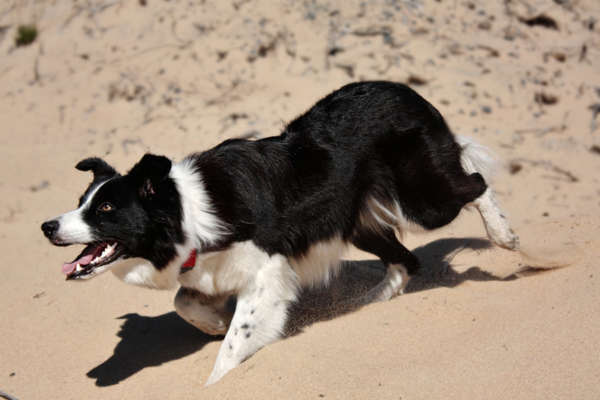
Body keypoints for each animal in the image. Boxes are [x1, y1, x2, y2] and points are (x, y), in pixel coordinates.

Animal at [43, 81, 520, 384]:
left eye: (105, 208)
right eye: (82, 199)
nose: (47, 226)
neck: (184, 212)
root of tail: (406, 91)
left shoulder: (265, 274)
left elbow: (232, 347)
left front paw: (218, 370)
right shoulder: (209, 269)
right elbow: (185, 301)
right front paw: (213, 322)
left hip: (423, 199)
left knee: (474, 180)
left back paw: (506, 237)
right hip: (357, 223)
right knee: (407, 258)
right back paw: (369, 302)